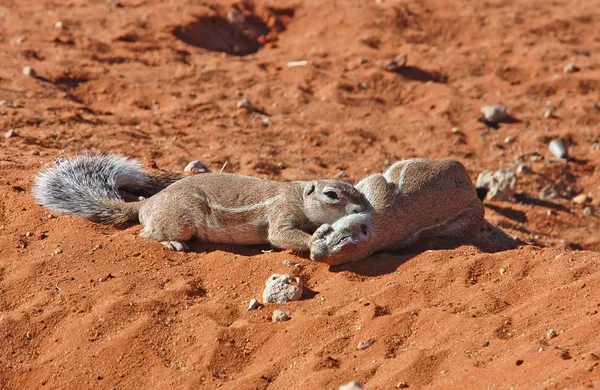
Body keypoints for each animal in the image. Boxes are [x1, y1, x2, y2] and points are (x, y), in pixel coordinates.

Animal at [36, 154, 370, 251]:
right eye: (331, 194)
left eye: (360, 193)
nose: (362, 210)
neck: (299, 196)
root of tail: (146, 203)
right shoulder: (281, 212)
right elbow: (280, 235)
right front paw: (317, 235)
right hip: (180, 221)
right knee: (145, 233)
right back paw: (171, 242)